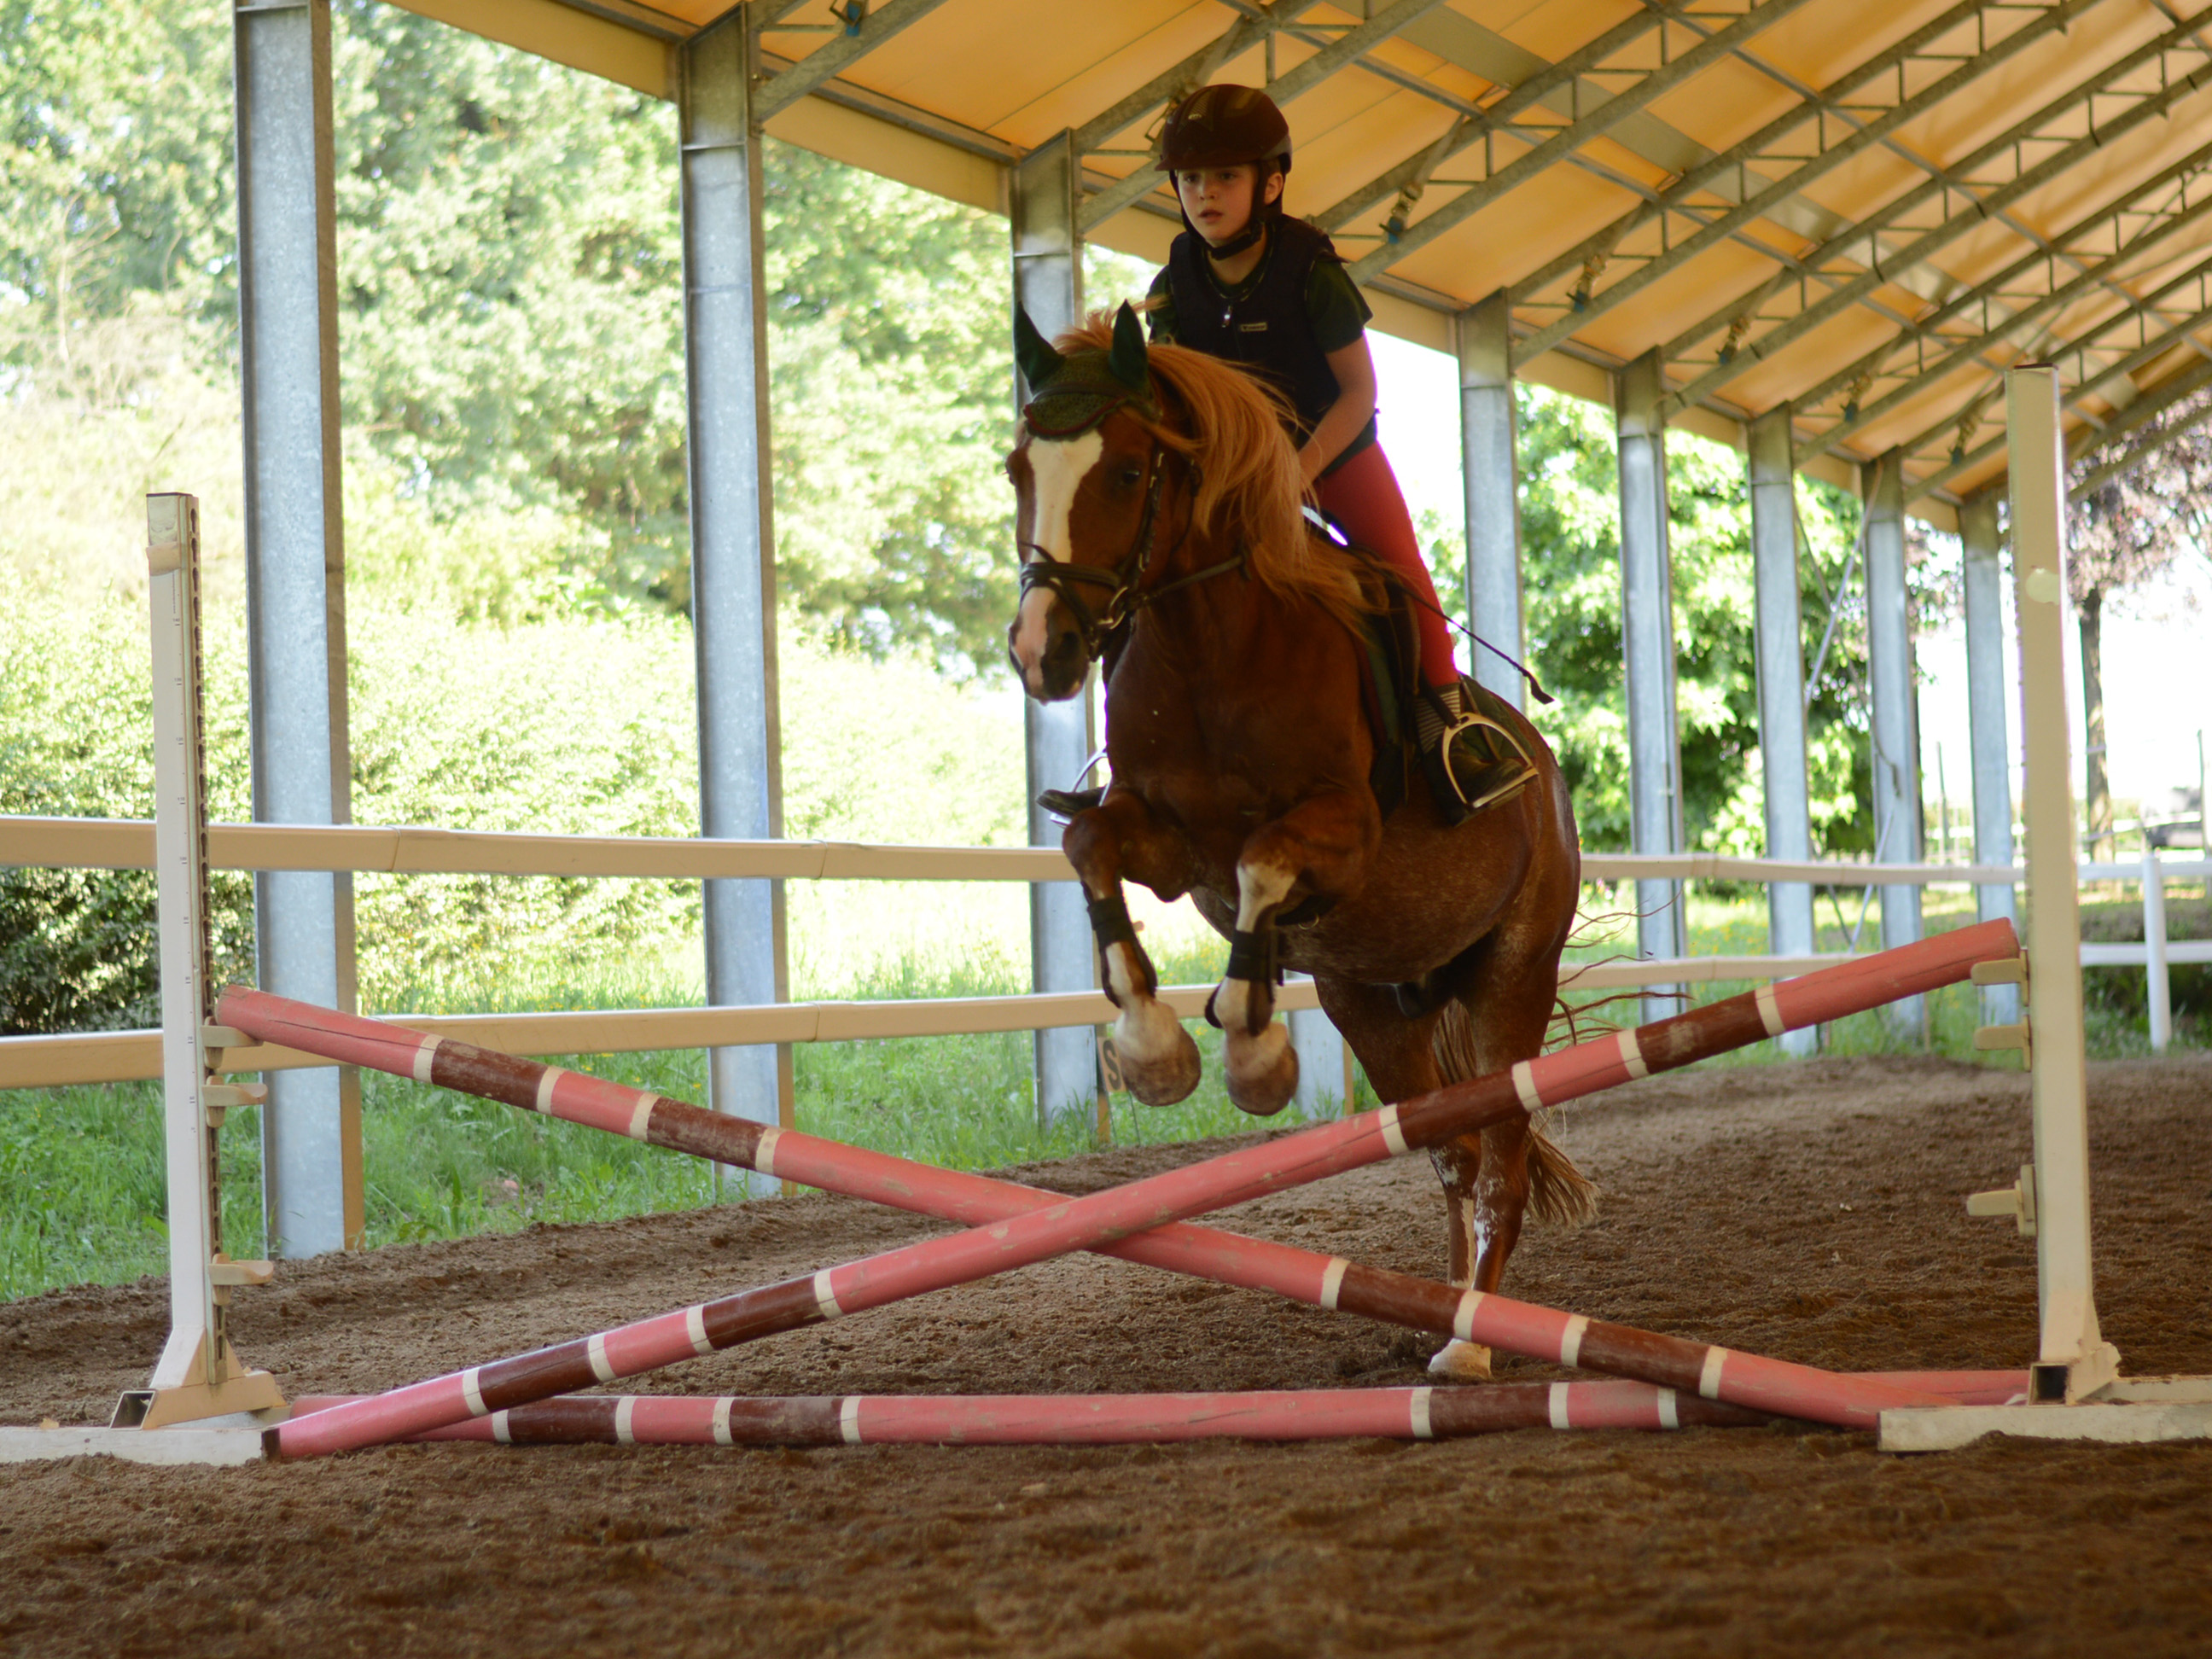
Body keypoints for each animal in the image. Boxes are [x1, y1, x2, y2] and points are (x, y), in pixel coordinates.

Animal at [1013, 309, 1601, 1380]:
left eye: (1128, 471)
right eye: (1017, 469)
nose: (1045, 651)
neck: (1209, 649)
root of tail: (1549, 783)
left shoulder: (1343, 835)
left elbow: (1264, 864)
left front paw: (1251, 1050)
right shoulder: (1166, 845)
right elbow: (1088, 848)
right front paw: (1155, 1051)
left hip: (1512, 976)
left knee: (1501, 1155)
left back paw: (1471, 1348)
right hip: (1372, 1000)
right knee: (1452, 1151)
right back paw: (1449, 1316)